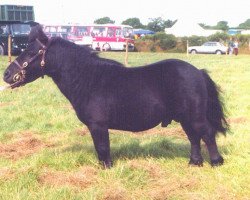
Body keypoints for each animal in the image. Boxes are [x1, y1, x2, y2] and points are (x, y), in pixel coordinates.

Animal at [2, 25, 229, 168]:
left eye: (32, 52)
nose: (6, 75)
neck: (88, 79)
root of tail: (197, 71)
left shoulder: (98, 125)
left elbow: (103, 148)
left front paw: (106, 168)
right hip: (184, 117)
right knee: (194, 137)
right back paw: (194, 163)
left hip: (194, 116)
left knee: (207, 135)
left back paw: (216, 162)